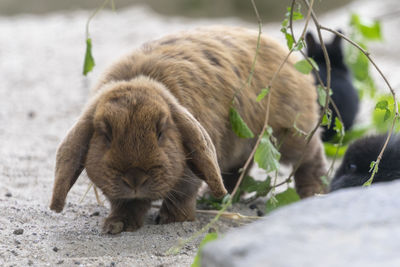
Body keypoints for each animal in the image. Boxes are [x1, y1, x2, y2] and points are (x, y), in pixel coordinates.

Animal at [49, 25, 324, 234]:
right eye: (105, 135)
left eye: (161, 132)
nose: (135, 178)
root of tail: (288, 55)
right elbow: (125, 204)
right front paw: (116, 225)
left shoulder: (189, 170)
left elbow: (183, 193)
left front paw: (172, 220)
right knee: (237, 171)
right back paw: (220, 198)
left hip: (287, 136)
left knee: (310, 156)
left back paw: (312, 192)